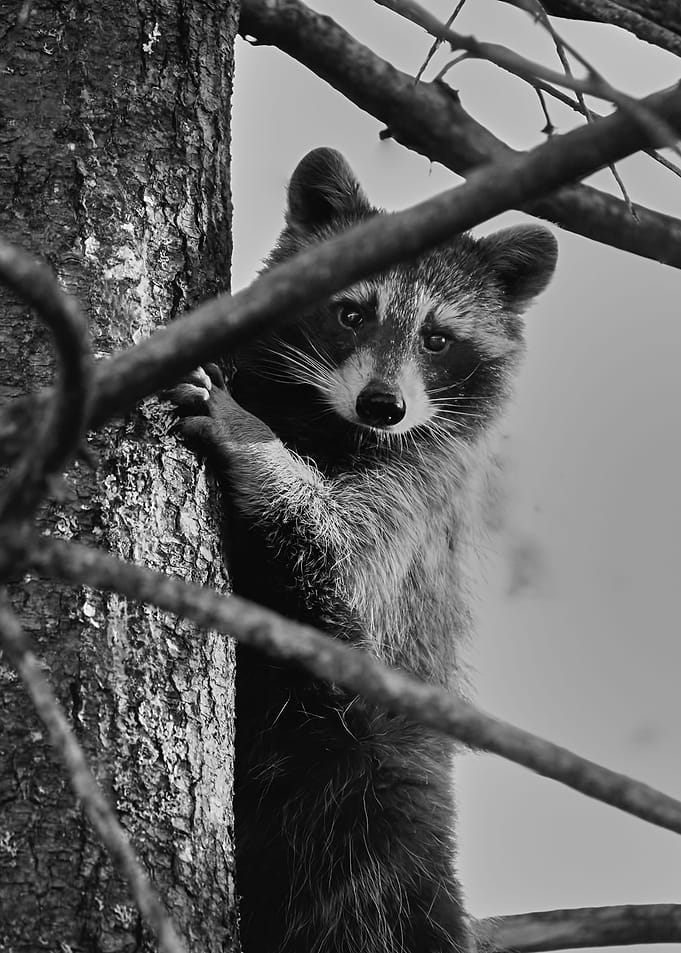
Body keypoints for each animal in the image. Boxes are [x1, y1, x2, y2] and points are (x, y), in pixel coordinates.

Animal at [170, 148, 557, 953]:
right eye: (352, 313)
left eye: (437, 338)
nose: (384, 406)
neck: (324, 418)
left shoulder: (423, 487)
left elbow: (341, 559)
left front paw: (252, 441)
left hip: (377, 788)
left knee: (378, 899)